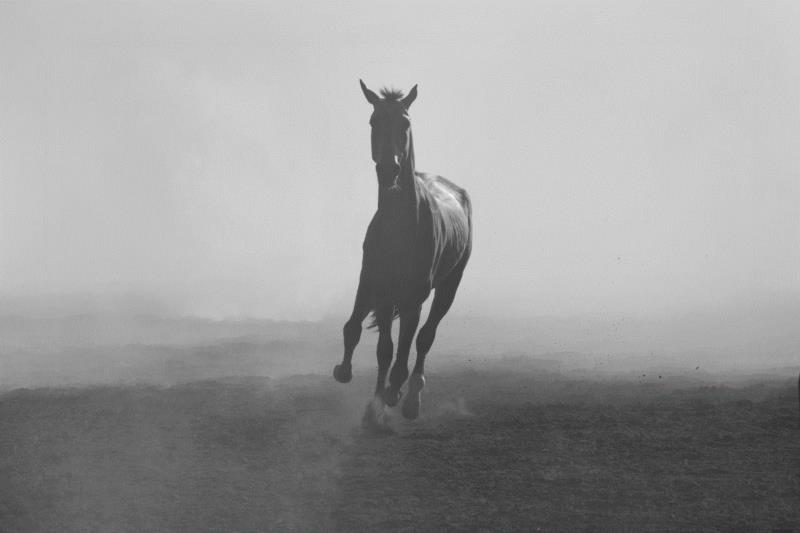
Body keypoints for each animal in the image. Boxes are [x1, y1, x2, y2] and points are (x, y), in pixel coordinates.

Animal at [333, 80, 473, 428]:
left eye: (405, 124)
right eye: (373, 121)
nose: (388, 169)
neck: (400, 227)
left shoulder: (412, 297)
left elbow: (403, 352)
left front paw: (392, 396)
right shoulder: (375, 283)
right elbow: (378, 345)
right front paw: (370, 404)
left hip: (448, 286)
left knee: (424, 338)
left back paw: (410, 400)